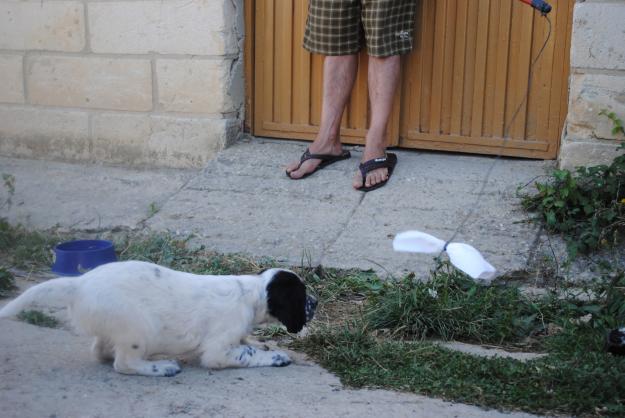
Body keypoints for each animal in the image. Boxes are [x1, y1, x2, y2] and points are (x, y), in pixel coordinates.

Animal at [0, 262, 314, 376]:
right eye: (302, 296)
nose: (317, 302)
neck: (252, 293)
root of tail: (79, 284)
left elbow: (248, 341)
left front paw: (261, 344)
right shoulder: (217, 350)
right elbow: (243, 353)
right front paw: (275, 357)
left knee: (101, 350)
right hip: (139, 327)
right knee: (123, 364)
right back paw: (161, 368)